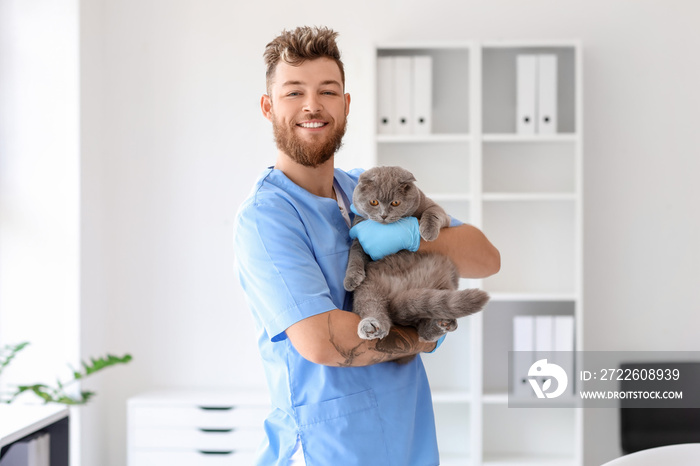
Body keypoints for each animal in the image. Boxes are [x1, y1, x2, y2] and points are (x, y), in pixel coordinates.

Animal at [344, 166, 486, 352]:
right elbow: (355, 256)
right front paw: (351, 279)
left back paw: (442, 324)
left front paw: (427, 231)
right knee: (374, 309)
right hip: (368, 289)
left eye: (395, 203)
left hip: (445, 283)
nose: (383, 215)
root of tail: (399, 294)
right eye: (373, 202)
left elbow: (432, 213)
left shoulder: (435, 208)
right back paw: (371, 327)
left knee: (424, 329)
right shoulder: (358, 235)